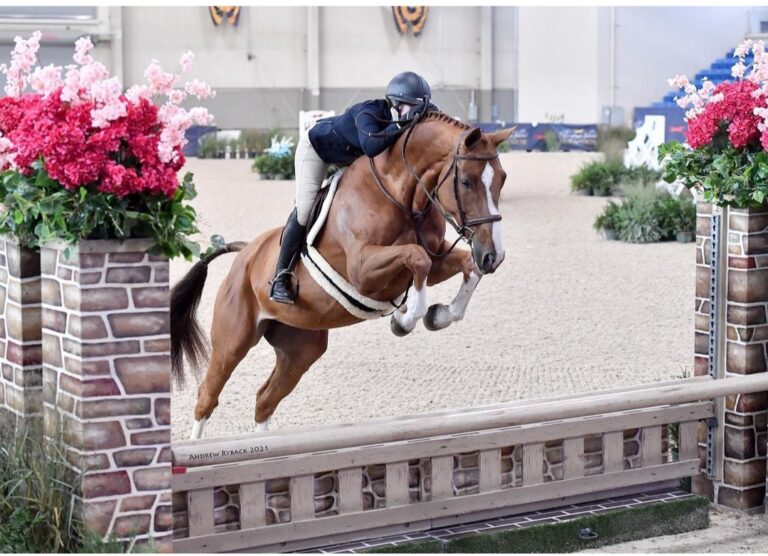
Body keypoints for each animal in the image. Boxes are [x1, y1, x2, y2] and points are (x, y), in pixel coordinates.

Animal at [171, 109, 512, 438]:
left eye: (502, 179)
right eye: (466, 182)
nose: (493, 256)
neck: (401, 193)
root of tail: (244, 253)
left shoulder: (437, 255)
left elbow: (462, 266)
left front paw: (439, 315)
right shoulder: (363, 270)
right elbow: (416, 259)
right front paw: (405, 319)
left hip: (300, 348)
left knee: (264, 400)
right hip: (233, 341)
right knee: (207, 397)